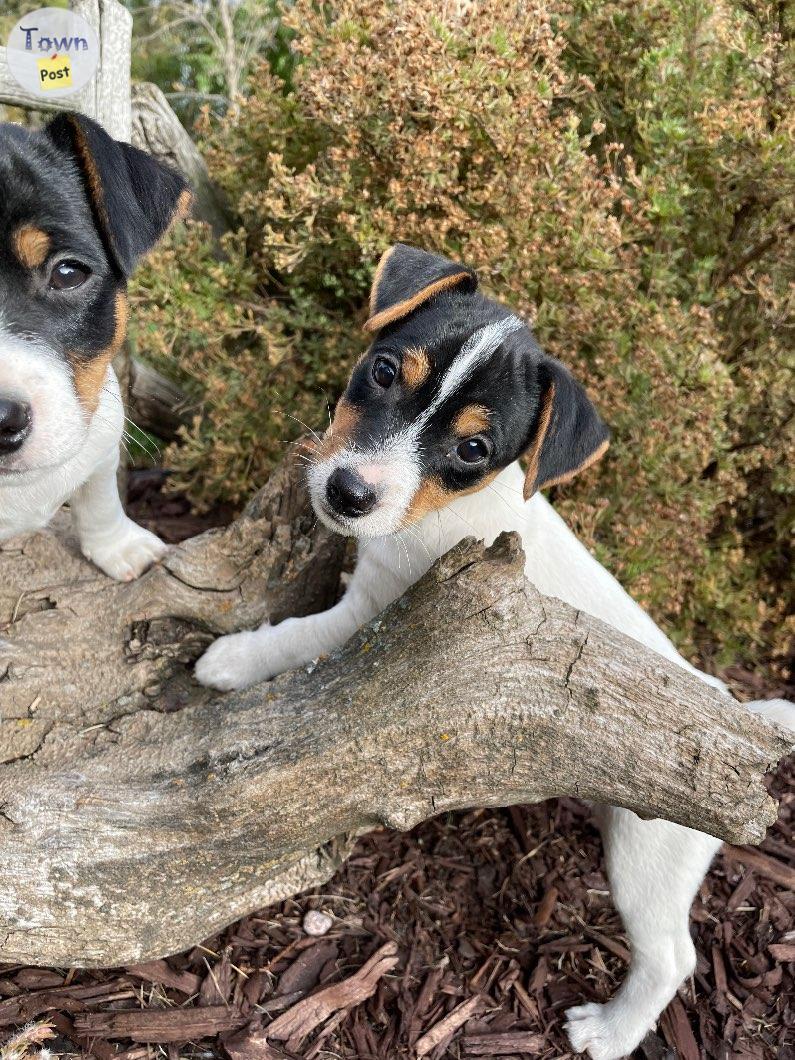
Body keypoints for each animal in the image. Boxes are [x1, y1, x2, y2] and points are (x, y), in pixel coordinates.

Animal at [196, 245, 792, 1060]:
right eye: (383, 372)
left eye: (473, 448)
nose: (347, 492)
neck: (447, 510)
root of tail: (745, 718)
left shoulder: (375, 608)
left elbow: (297, 637)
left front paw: (227, 661)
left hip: (647, 859)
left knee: (674, 957)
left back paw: (608, 1033)